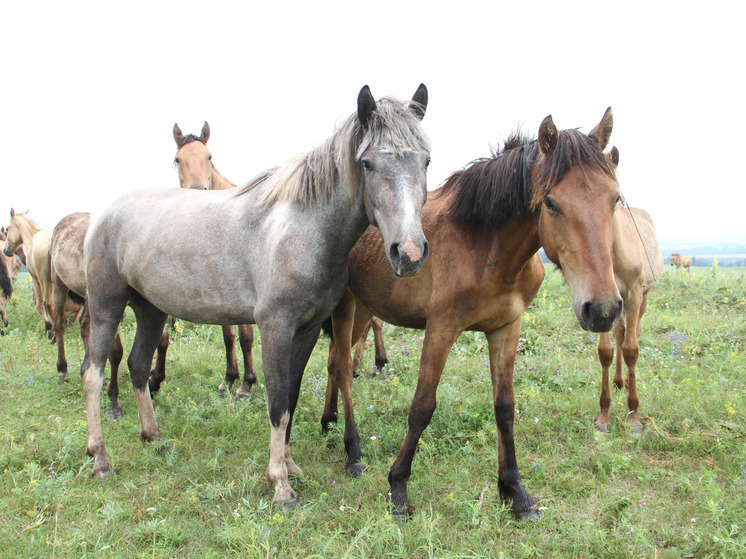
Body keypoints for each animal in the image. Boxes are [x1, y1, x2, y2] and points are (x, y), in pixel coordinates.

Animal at [170, 121, 258, 398]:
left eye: (208, 157)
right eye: (177, 159)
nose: (198, 191)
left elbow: (245, 337)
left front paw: (246, 385)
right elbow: (228, 336)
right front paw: (229, 380)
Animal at [322, 108, 620, 520]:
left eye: (615, 199)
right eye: (550, 203)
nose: (603, 308)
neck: (486, 247)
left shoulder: (507, 328)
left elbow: (505, 408)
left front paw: (515, 491)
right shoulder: (442, 328)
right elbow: (422, 406)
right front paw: (398, 487)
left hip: (365, 309)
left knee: (335, 361)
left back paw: (329, 423)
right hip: (345, 307)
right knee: (343, 370)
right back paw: (352, 451)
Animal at [592, 148, 664, 434]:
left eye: (617, 196)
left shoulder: (633, 294)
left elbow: (632, 350)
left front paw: (634, 415)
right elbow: (606, 352)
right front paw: (604, 414)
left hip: (642, 299)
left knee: (633, 333)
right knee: (620, 333)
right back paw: (619, 381)